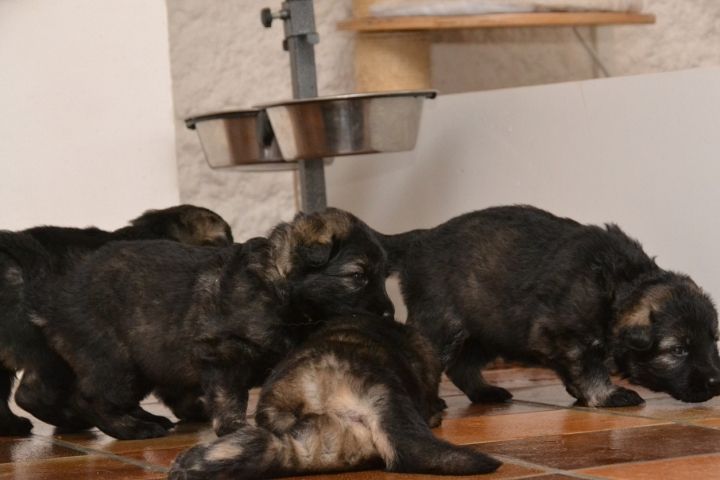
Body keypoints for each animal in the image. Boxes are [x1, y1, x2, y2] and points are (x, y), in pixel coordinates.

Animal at [41, 208, 395, 440]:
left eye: (383, 276)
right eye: (357, 276)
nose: (390, 314)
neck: (279, 289)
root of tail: (57, 302)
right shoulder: (223, 353)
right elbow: (228, 396)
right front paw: (234, 428)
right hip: (117, 360)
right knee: (92, 397)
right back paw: (135, 429)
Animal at [380, 205, 720, 407]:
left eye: (713, 341)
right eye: (678, 350)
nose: (716, 382)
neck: (618, 286)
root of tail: (421, 239)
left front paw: (580, 393)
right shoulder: (568, 334)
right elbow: (588, 366)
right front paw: (607, 394)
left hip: (487, 329)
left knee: (461, 366)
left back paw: (485, 392)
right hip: (443, 325)